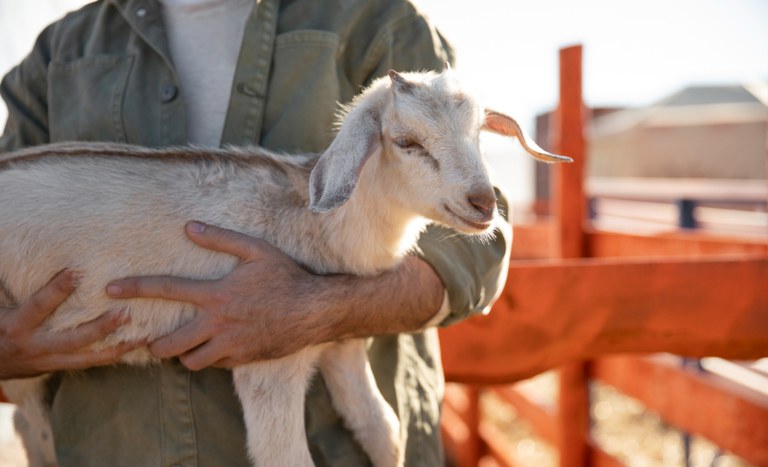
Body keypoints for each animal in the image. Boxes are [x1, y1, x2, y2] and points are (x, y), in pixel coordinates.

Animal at [0, 69, 568, 467]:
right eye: (407, 142)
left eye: (479, 134)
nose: (484, 203)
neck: (313, 222)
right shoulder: (268, 363)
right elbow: (287, 456)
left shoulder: (341, 344)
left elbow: (385, 431)